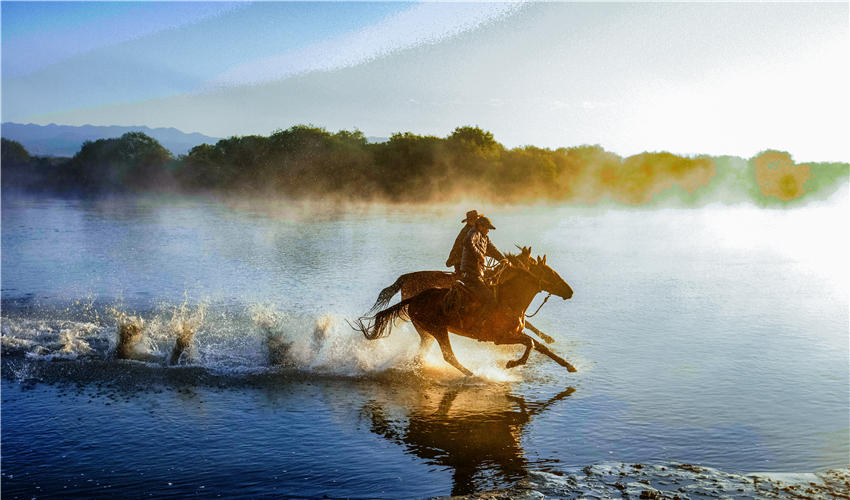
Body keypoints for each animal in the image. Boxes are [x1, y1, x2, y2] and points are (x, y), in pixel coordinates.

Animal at [355, 248, 577, 376]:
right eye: (550, 273)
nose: (570, 291)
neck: (509, 300)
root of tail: (414, 298)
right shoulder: (500, 338)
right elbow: (530, 342)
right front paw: (512, 364)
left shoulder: (515, 333)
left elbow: (540, 345)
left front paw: (569, 365)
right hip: (438, 330)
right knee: (449, 357)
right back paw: (475, 376)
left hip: (427, 333)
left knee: (422, 355)